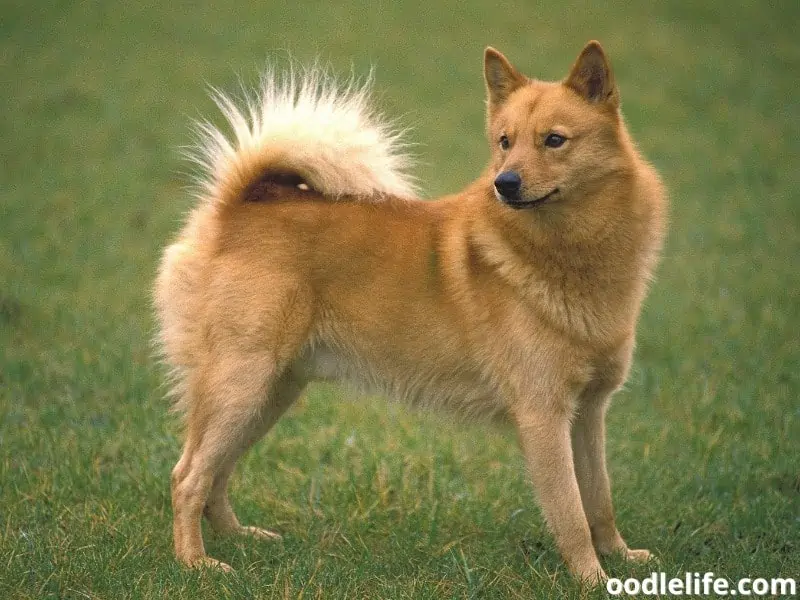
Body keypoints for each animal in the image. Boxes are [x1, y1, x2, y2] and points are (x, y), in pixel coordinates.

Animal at [153, 42, 664, 584]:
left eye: (554, 140)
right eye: (505, 142)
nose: (505, 183)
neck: (567, 254)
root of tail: (240, 205)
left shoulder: (588, 413)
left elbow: (599, 499)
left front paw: (621, 557)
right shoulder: (544, 416)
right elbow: (570, 511)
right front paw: (593, 579)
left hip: (270, 392)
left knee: (217, 473)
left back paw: (239, 539)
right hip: (242, 383)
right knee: (188, 476)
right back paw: (196, 562)